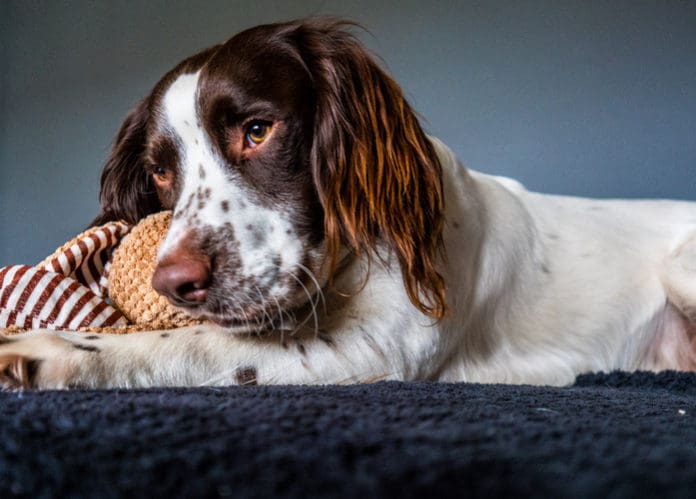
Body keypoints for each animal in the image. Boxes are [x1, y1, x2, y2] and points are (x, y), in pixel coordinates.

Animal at [1, 17, 696, 388]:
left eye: (258, 130)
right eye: (161, 172)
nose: (174, 283)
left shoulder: (375, 348)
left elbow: (196, 344)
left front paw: (45, 349)